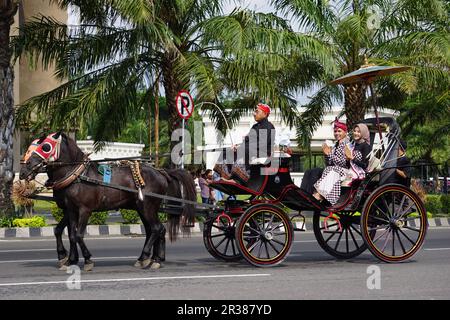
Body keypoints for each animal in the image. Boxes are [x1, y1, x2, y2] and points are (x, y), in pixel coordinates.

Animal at [19, 132, 195, 270]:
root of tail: (161, 172)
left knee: (157, 228)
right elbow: (66, 233)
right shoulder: (70, 209)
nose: (23, 171)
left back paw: (148, 258)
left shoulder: (85, 210)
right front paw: (68, 259)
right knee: (154, 230)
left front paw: (87, 260)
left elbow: (78, 234)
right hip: (142, 207)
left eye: (45, 147)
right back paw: (152, 259)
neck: (76, 175)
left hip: (148, 206)